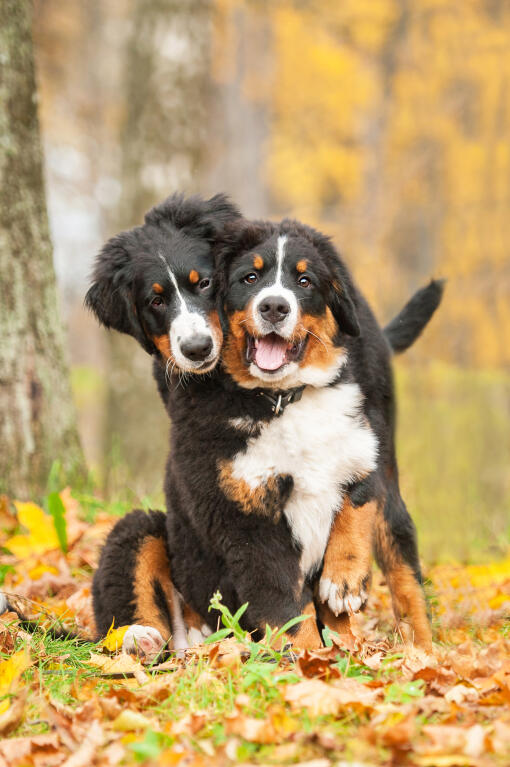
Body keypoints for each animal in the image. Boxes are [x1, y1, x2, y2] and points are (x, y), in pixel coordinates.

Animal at [88, 207, 442, 656]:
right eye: (249, 278)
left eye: (304, 281)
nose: (274, 306)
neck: (281, 399)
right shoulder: (245, 520)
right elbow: (286, 607)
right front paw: (313, 662)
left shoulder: (364, 444)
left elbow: (358, 499)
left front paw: (344, 580)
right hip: (143, 530)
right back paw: (144, 640)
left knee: (405, 576)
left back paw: (423, 652)